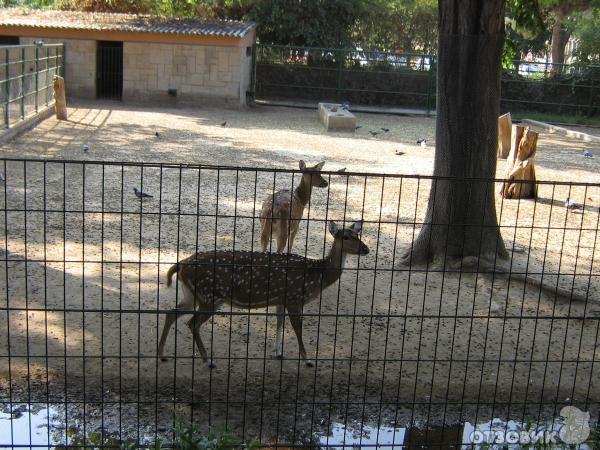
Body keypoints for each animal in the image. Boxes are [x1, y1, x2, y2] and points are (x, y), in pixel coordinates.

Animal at [157, 220, 368, 368]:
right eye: (346, 237)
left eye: (358, 233)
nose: (366, 249)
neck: (317, 276)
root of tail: (181, 264)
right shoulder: (294, 298)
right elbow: (297, 328)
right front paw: (308, 360)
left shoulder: (281, 299)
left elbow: (280, 323)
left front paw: (278, 352)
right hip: (209, 296)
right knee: (191, 323)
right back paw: (208, 361)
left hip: (193, 295)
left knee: (171, 312)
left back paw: (162, 354)